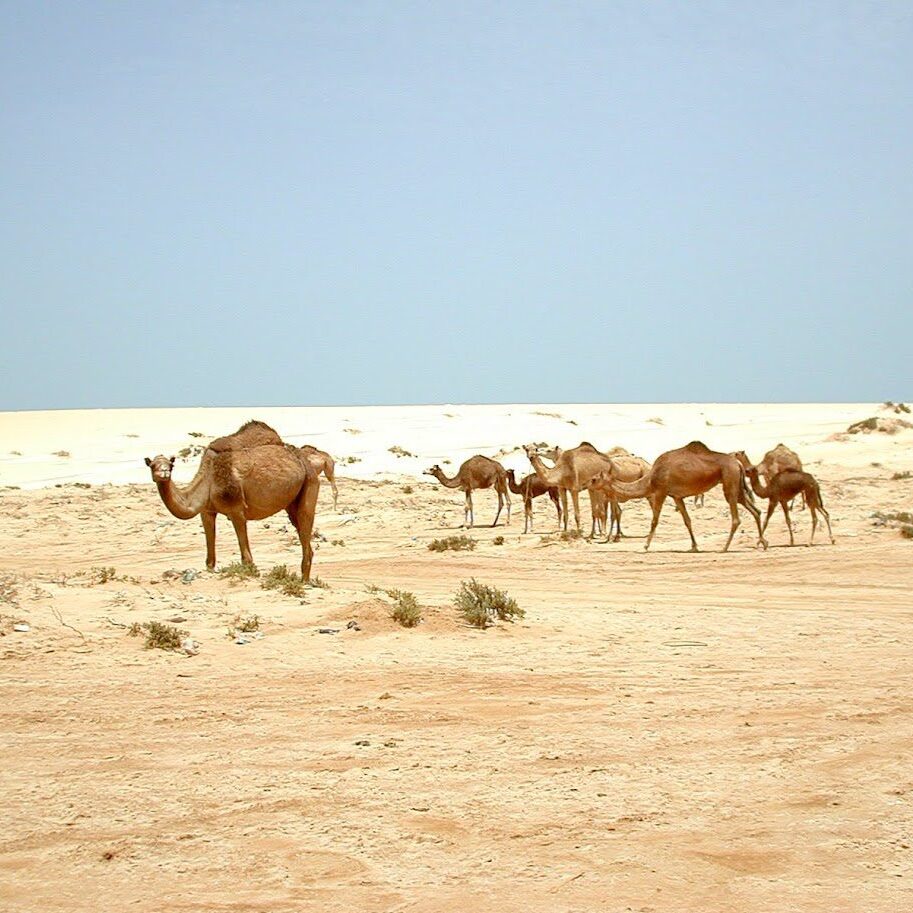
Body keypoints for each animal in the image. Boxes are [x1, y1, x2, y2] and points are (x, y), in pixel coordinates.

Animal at [145, 420, 320, 580]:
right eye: (152, 465)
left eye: (170, 465)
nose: (164, 473)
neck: (209, 478)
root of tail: (303, 460)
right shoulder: (207, 511)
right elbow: (210, 559)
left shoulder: (236, 510)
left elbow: (246, 558)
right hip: (292, 503)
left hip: (310, 482)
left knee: (305, 523)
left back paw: (304, 582)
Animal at [599, 441, 767, 552]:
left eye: (595, 479)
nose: (591, 482)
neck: (650, 477)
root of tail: (738, 464)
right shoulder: (676, 497)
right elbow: (687, 521)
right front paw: (694, 546)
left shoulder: (660, 492)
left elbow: (654, 520)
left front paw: (645, 546)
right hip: (736, 485)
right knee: (756, 510)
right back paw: (762, 543)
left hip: (729, 481)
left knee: (736, 518)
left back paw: (724, 548)